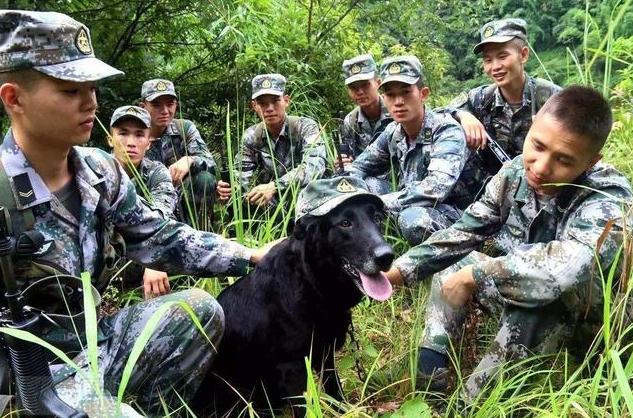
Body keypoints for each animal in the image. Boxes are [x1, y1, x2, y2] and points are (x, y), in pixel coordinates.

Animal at [191, 197, 396, 418]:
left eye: (377, 218)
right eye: (345, 223)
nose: (387, 256)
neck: (311, 282)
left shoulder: (325, 355)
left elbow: (335, 389)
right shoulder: (293, 367)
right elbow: (305, 408)